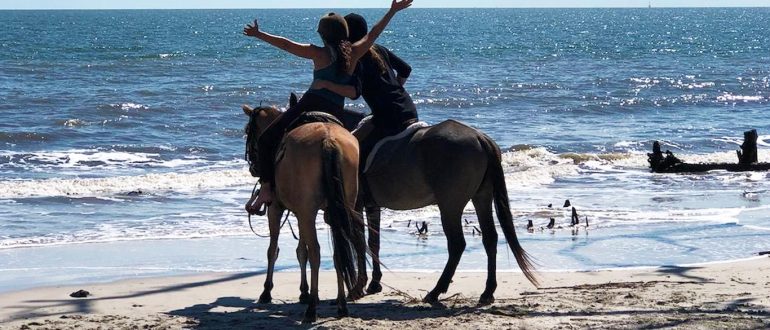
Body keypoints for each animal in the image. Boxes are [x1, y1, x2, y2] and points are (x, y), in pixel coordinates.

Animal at [242, 94, 364, 324]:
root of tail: (328, 140)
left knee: (316, 251)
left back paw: (312, 310)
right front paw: (304, 291)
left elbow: (274, 250)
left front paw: (267, 291)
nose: (254, 168)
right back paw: (341, 304)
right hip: (339, 210)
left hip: (307, 212)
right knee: (338, 253)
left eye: (247, 130)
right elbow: (302, 251)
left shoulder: (277, 209)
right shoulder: (300, 213)